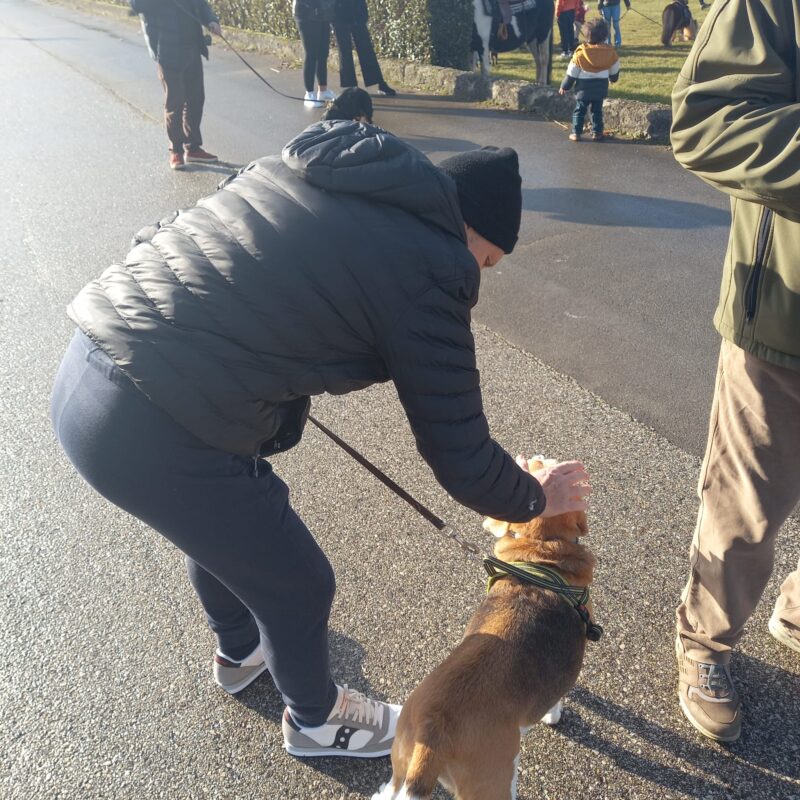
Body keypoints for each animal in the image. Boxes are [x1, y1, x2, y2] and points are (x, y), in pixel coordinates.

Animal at [373, 459, 598, 800]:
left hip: (400, 760)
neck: (543, 559)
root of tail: (434, 735)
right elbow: (557, 700)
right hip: (494, 780)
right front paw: (554, 717)